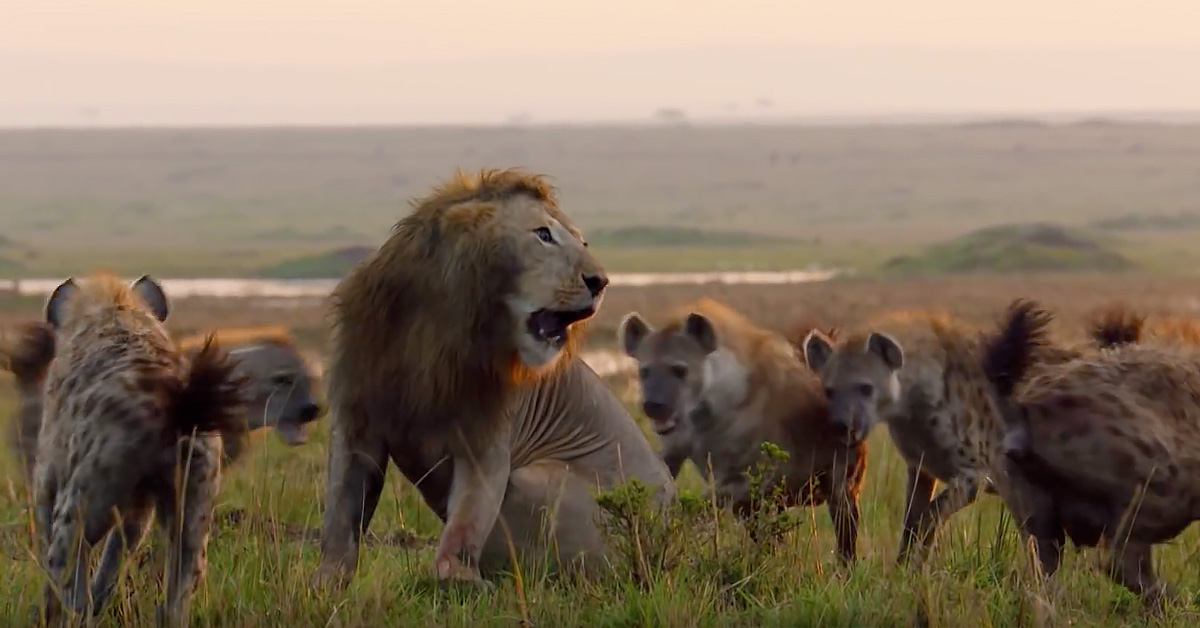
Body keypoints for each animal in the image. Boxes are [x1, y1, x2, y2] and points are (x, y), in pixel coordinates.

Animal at [315, 168, 676, 587]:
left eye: (583, 242)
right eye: (543, 234)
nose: (599, 281)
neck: (434, 329)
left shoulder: (486, 439)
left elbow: (468, 519)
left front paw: (457, 577)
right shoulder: (356, 420)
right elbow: (341, 516)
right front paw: (326, 583)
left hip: (540, 480)